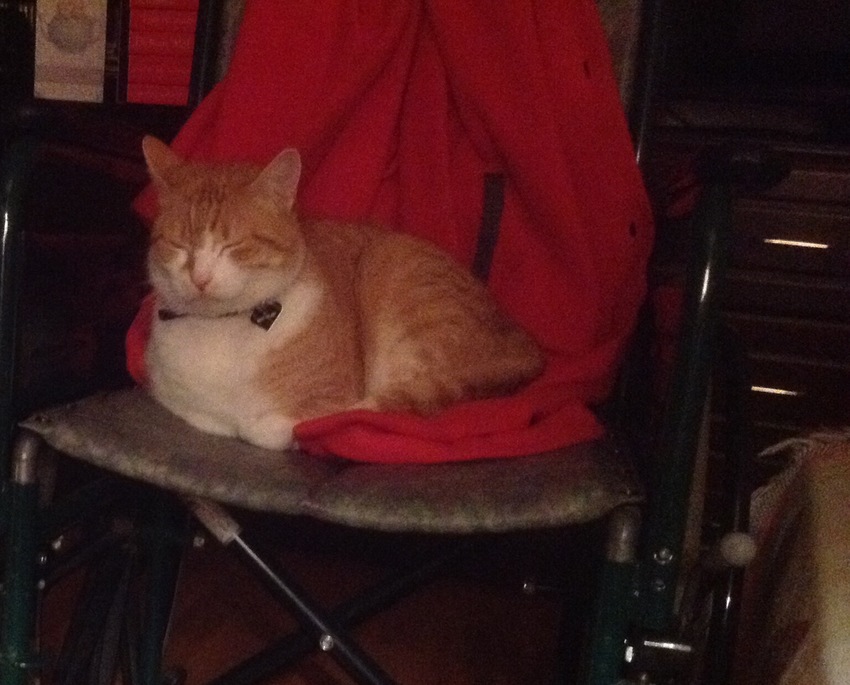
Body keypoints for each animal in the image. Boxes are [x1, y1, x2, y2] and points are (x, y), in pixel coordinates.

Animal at [141, 135, 545, 450]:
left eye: (234, 246)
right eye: (179, 245)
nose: (200, 277)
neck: (225, 325)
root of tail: (522, 340)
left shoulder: (332, 397)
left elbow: (271, 427)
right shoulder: (172, 396)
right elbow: (207, 416)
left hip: (396, 273)